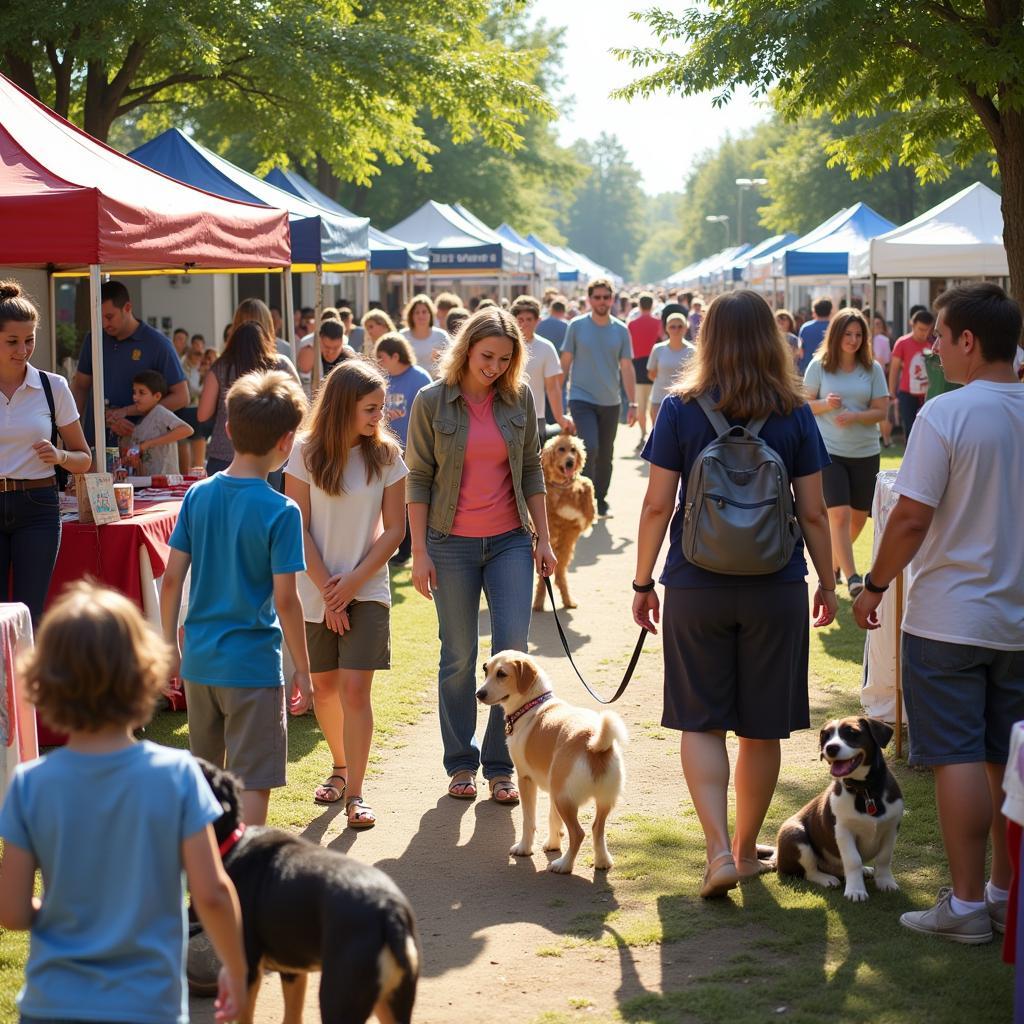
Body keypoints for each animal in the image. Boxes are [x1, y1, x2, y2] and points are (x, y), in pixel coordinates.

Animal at [193, 761, 417, 1024]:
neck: (233, 843)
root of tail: (389, 915)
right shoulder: (293, 969)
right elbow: (292, 1015)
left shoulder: (246, 969)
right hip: (391, 1001)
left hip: (338, 998)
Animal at [475, 651, 626, 876]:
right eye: (486, 669)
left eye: (502, 674)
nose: (479, 693)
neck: (532, 705)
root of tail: (595, 743)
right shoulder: (553, 788)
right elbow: (553, 819)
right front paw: (553, 844)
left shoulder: (526, 780)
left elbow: (529, 821)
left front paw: (524, 848)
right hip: (599, 800)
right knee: (597, 830)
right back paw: (602, 861)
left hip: (564, 798)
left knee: (579, 833)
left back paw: (563, 865)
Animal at [532, 430, 598, 606]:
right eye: (561, 449)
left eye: (573, 450)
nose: (570, 462)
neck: (562, 486)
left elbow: (587, 484)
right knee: (546, 576)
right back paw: (539, 601)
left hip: (565, 548)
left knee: (559, 573)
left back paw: (567, 599)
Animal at [774, 716, 905, 901]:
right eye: (826, 736)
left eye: (851, 732)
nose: (830, 748)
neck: (865, 790)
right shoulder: (843, 831)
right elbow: (853, 860)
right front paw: (856, 890)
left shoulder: (891, 828)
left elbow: (884, 858)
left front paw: (885, 881)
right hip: (795, 834)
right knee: (810, 872)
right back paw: (826, 879)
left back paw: (864, 870)